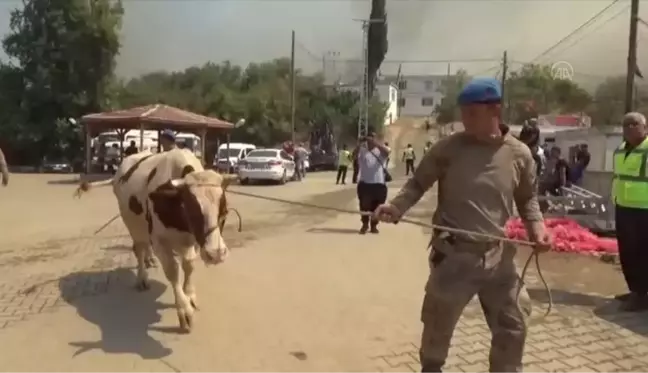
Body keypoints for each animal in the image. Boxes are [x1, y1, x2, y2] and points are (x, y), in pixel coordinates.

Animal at [78, 148, 235, 332]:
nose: (216, 253)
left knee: (146, 248)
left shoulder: (194, 240)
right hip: (133, 224)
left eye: (224, 211)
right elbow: (173, 271)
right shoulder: (159, 240)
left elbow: (189, 265)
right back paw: (142, 278)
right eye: (192, 211)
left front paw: (190, 295)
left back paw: (150, 259)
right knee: (139, 248)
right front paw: (184, 310)